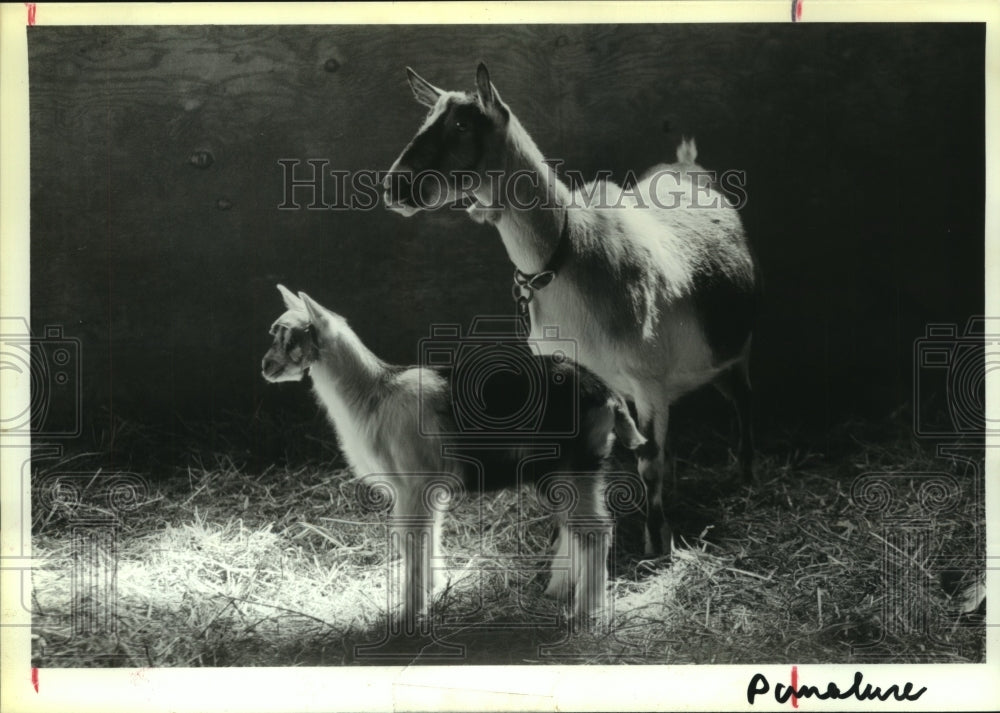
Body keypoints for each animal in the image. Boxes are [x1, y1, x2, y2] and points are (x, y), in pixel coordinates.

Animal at [261, 285, 645, 624]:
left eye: (290, 338)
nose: (265, 366)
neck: (374, 395)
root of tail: (606, 393)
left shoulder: (412, 485)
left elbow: (411, 539)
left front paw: (410, 613)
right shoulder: (425, 488)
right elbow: (429, 533)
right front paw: (433, 588)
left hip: (575, 464)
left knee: (595, 531)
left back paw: (585, 612)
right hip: (570, 471)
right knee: (574, 527)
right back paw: (561, 590)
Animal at [383, 63, 759, 556]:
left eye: (463, 124)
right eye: (426, 119)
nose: (394, 186)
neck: (567, 257)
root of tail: (687, 166)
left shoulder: (648, 379)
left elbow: (648, 462)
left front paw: (657, 542)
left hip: (733, 350)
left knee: (743, 400)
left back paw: (746, 473)